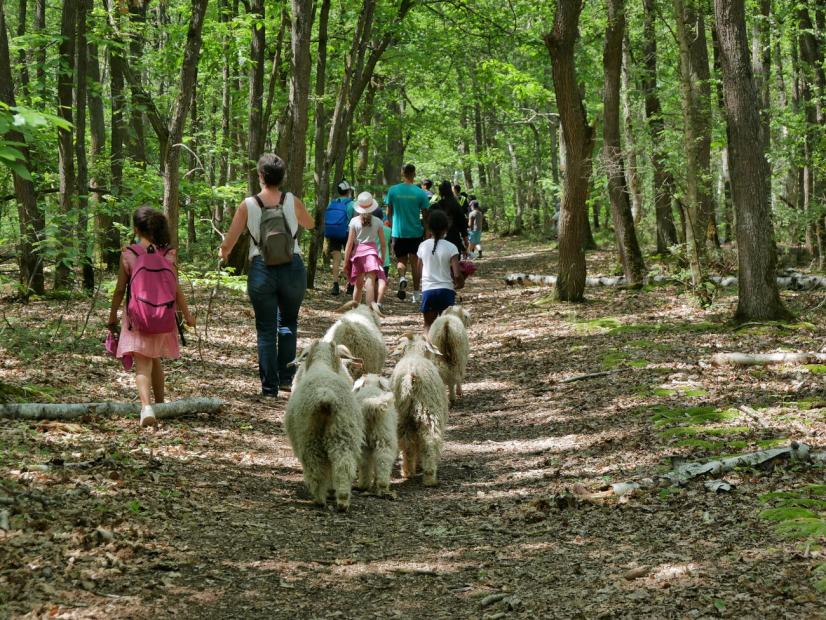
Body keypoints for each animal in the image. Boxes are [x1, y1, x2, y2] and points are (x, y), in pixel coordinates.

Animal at [286, 342, 364, 512]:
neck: (321, 364)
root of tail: (325, 395)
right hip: (343, 432)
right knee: (343, 464)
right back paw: (342, 500)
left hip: (309, 435)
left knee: (315, 465)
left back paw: (319, 498)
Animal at [390, 332, 448, 486]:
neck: (415, 353)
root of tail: (411, 375)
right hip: (428, 411)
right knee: (429, 441)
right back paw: (429, 476)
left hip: (401, 415)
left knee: (406, 443)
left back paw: (408, 471)